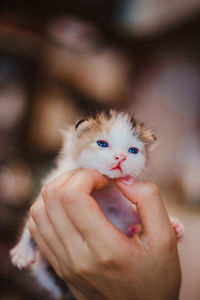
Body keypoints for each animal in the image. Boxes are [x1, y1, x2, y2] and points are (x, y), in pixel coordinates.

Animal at [9, 109, 184, 298]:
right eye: (102, 144)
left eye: (133, 150)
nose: (121, 157)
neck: (102, 192)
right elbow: (30, 222)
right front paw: (23, 250)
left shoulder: (118, 205)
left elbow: (131, 213)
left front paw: (174, 224)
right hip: (44, 269)